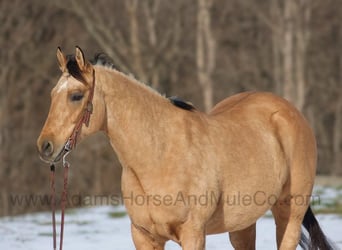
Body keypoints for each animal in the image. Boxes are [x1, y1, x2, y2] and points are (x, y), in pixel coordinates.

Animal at [36, 47, 332, 250]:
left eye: (76, 96)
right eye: (52, 95)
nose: (45, 146)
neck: (159, 155)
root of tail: (289, 112)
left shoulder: (192, 235)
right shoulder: (144, 236)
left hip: (289, 215)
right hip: (243, 224)